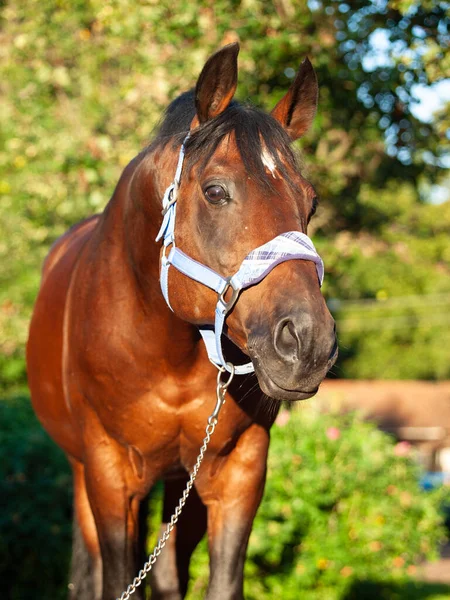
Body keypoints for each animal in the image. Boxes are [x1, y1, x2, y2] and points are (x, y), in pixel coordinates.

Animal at [27, 43, 338, 600]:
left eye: (312, 202)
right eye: (215, 192)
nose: (309, 343)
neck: (165, 351)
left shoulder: (238, 472)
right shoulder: (109, 473)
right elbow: (117, 579)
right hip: (83, 471)